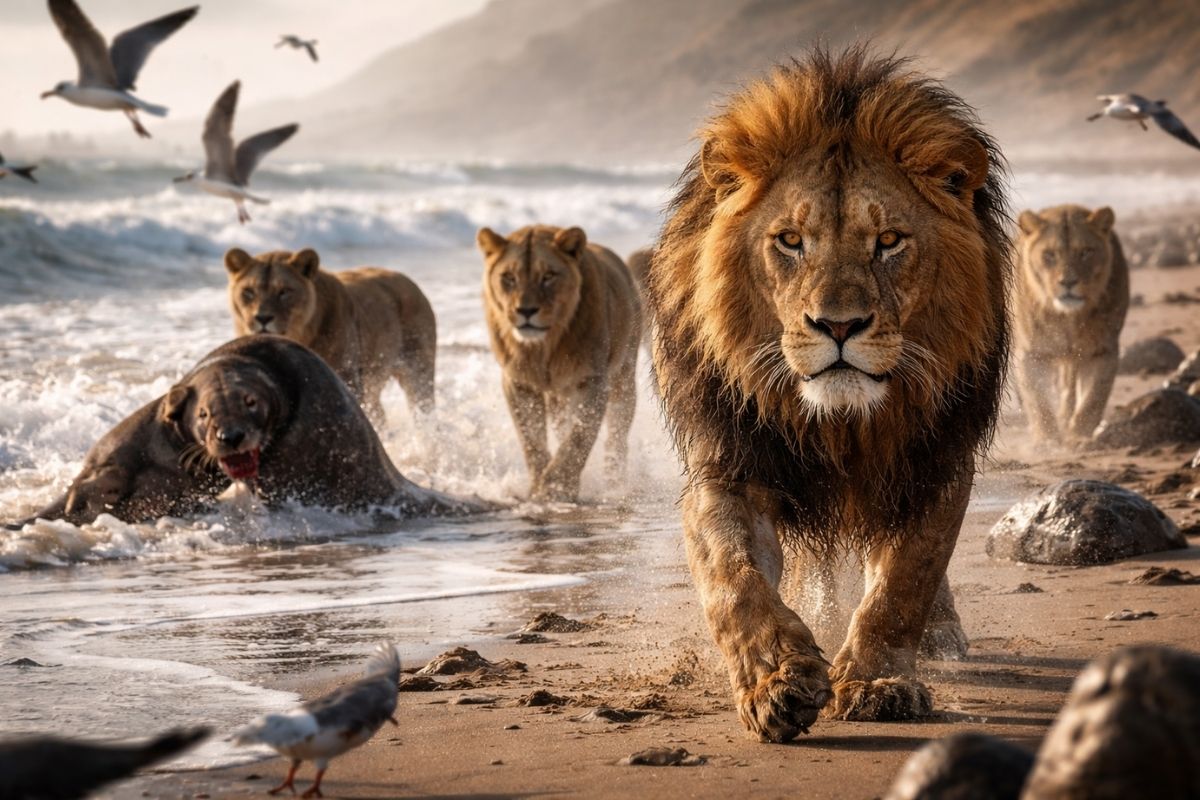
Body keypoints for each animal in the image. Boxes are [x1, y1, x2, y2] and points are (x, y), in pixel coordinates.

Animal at [224, 248, 437, 423]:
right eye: (248, 292)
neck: (300, 336)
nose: (263, 317)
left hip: (418, 374)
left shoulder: (348, 383)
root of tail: (409, 281)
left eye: (284, 291)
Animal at [477, 224, 641, 502]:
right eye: (509, 277)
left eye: (549, 276)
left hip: (624, 378)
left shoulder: (592, 381)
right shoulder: (518, 382)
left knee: (617, 436)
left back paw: (615, 480)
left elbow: (579, 437)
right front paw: (538, 488)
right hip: (558, 398)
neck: (544, 348)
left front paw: (557, 488)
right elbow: (531, 439)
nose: (526, 311)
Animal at [644, 47, 1010, 741]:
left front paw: (876, 683)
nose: (838, 327)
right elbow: (733, 580)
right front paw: (775, 684)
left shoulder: (936, 462)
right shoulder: (729, 465)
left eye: (889, 241)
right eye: (790, 241)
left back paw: (941, 636)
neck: (842, 424)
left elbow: (904, 582)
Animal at [1012, 205, 1130, 441]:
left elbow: (1093, 398)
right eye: (1049, 254)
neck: (1068, 319)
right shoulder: (1032, 352)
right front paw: (1047, 440)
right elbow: (1038, 401)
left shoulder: (1102, 350)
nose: (1068, 282)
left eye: (1085, 252)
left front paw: (1079, 437)